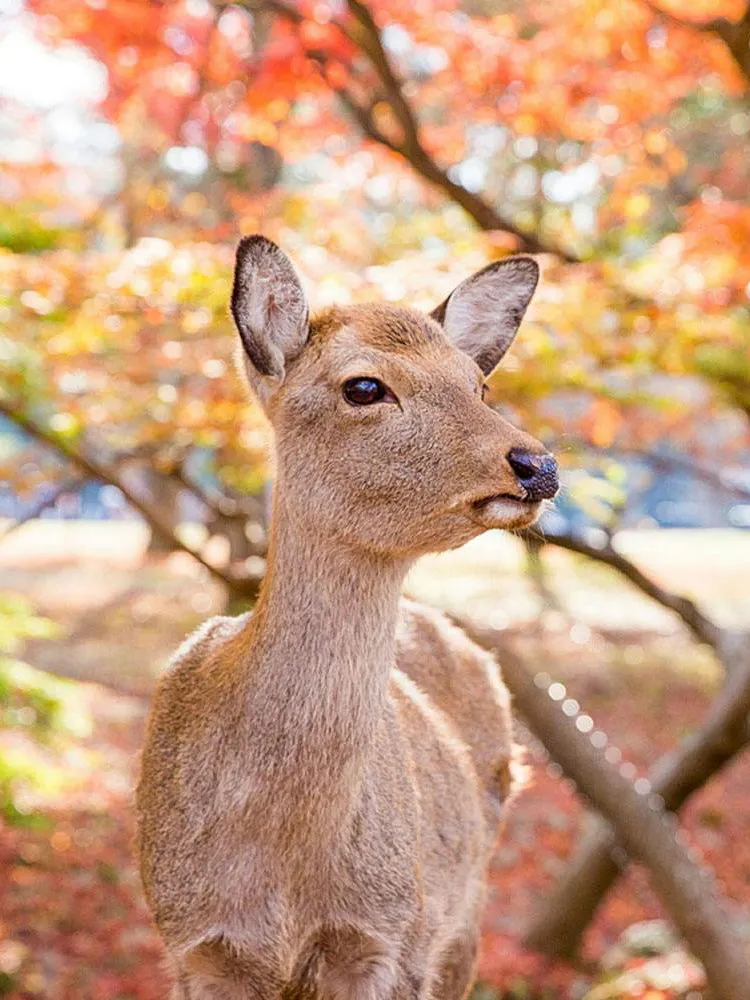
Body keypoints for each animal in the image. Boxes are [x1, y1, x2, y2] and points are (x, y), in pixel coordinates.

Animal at [136, 235, 559, 1000]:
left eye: (478, 386)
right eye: (364, 387)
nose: (537, 465)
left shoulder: (388, 935)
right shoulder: (192, 943)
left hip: (463, 918)